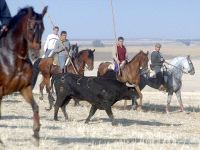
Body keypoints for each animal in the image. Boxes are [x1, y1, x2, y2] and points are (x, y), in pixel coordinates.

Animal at [0, 6, 47, 146]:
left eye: (43, 28)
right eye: (31, 28)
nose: (35, 54)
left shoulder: (24, 88)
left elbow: (35, 107)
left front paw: (36, 136)